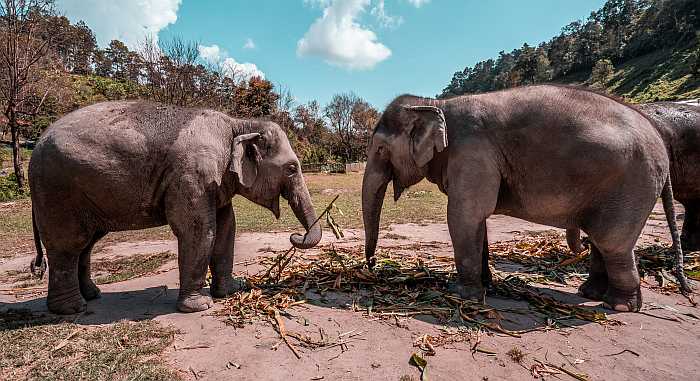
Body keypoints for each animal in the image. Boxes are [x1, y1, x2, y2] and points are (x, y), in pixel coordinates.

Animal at [28, 99, 322, 314]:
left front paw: (231, 291)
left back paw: (92, 296)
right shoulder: (192, 174)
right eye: (292, 168)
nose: (295, 235)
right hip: (56, 190)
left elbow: (227, 229)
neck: (237, 123)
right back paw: (72, 309)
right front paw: (200, 306)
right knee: (69, 244)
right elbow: (199, 230)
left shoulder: (215, 181)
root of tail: (37, 142)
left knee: (86, 244)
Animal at [360, 85, 684, 312]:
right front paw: (486, 285)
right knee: (601, 242)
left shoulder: (472, 152)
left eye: (380, 149)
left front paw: (463, 294)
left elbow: (464, 216)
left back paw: (618, 305)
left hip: (631, 184)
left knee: (612, 242)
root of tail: (658, 137)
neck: (435, 104)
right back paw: (589, 293)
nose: (372, 266)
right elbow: (477, 221)